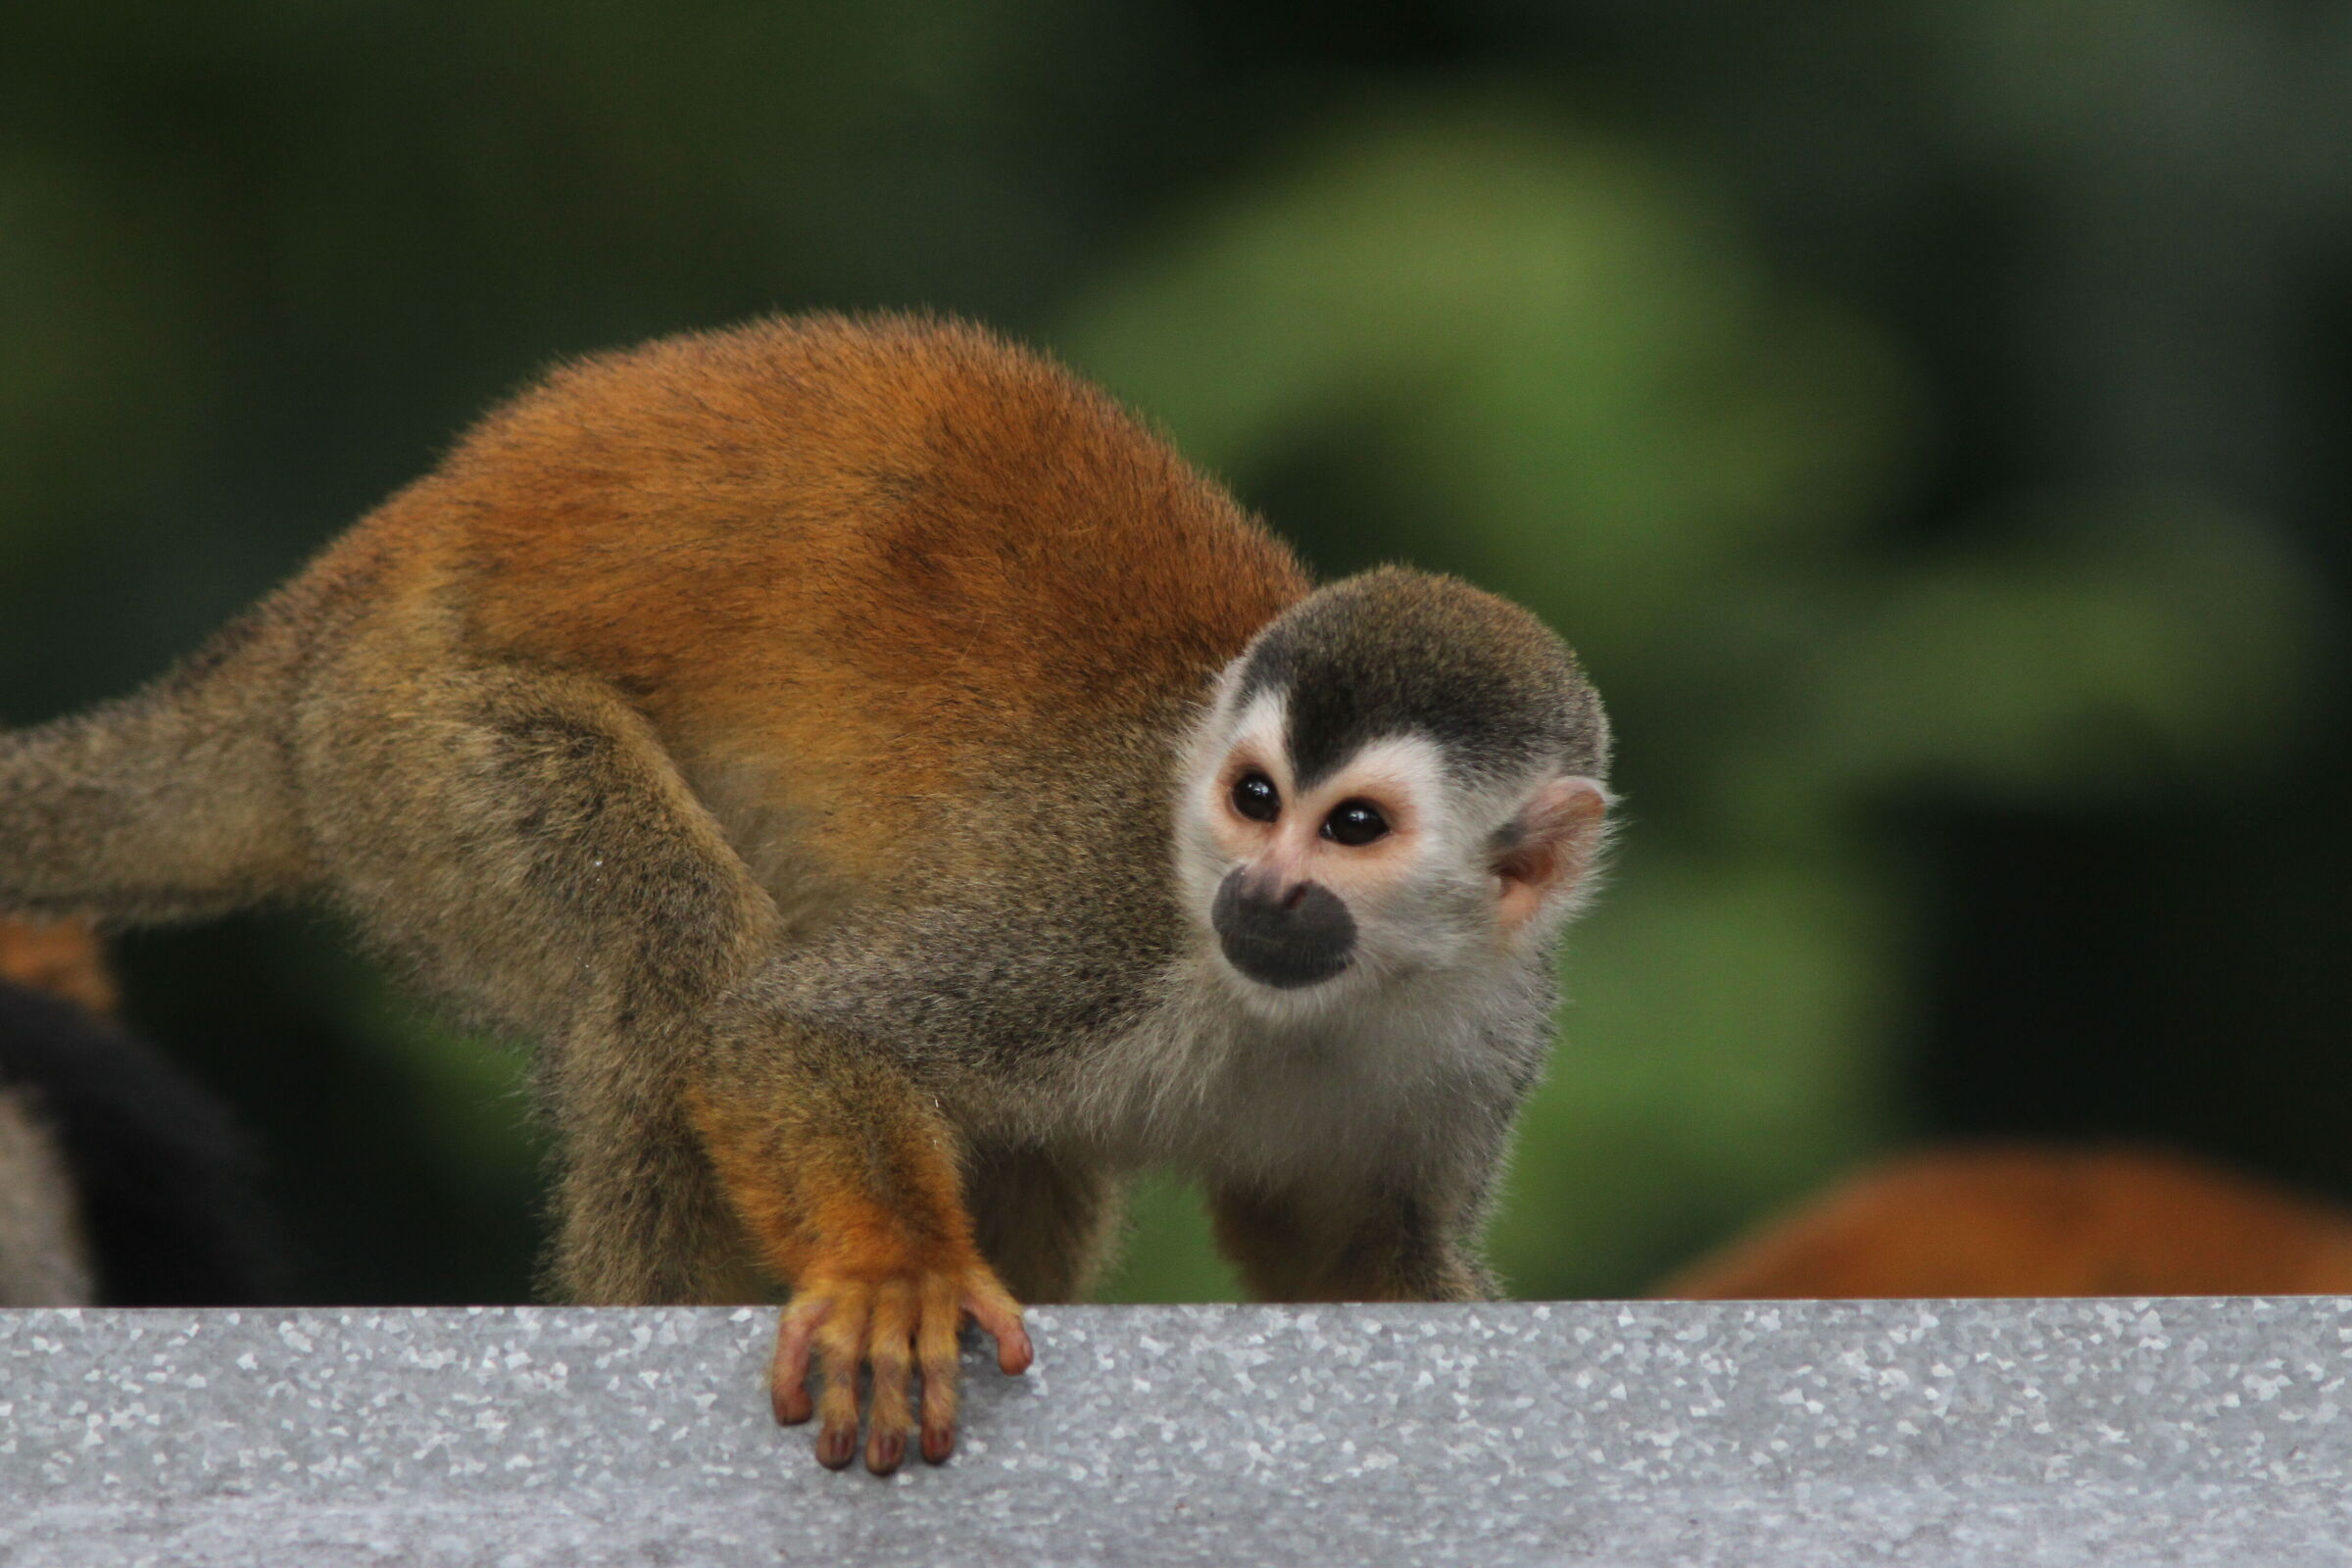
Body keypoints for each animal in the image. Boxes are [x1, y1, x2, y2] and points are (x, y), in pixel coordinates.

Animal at [0, 313, 1610, 1473]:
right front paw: (895, 1274)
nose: (1265, 893)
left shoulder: (1482, 1041)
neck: (1310, 996)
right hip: (418, 735)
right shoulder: (1099, 915)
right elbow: (787, 1031)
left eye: (1355, 828)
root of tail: (334, 603)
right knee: (669, 956)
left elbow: (1344, 1257)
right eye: (1254, 800)